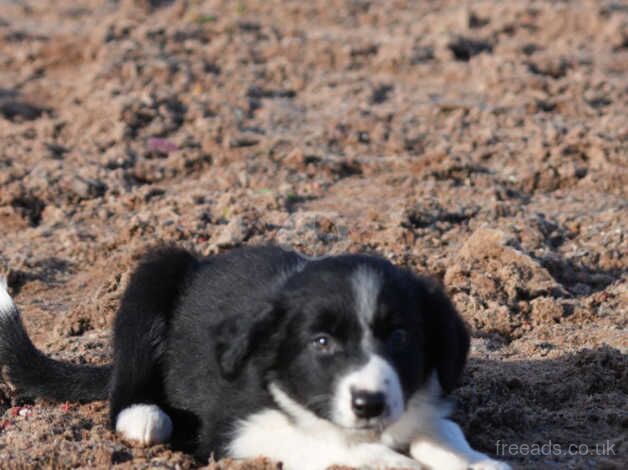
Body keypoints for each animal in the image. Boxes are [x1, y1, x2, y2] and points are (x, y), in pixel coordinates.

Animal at [0, 246, 510, 470]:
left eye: (401, 336)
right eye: (321, 342)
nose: (370, 404)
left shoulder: (419, 404)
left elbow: (442, 430)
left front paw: (476, 462)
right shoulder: (233, 428)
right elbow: (324, 442)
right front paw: (391, 463)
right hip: (155, 274)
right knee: (125, 381)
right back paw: (143, 418)